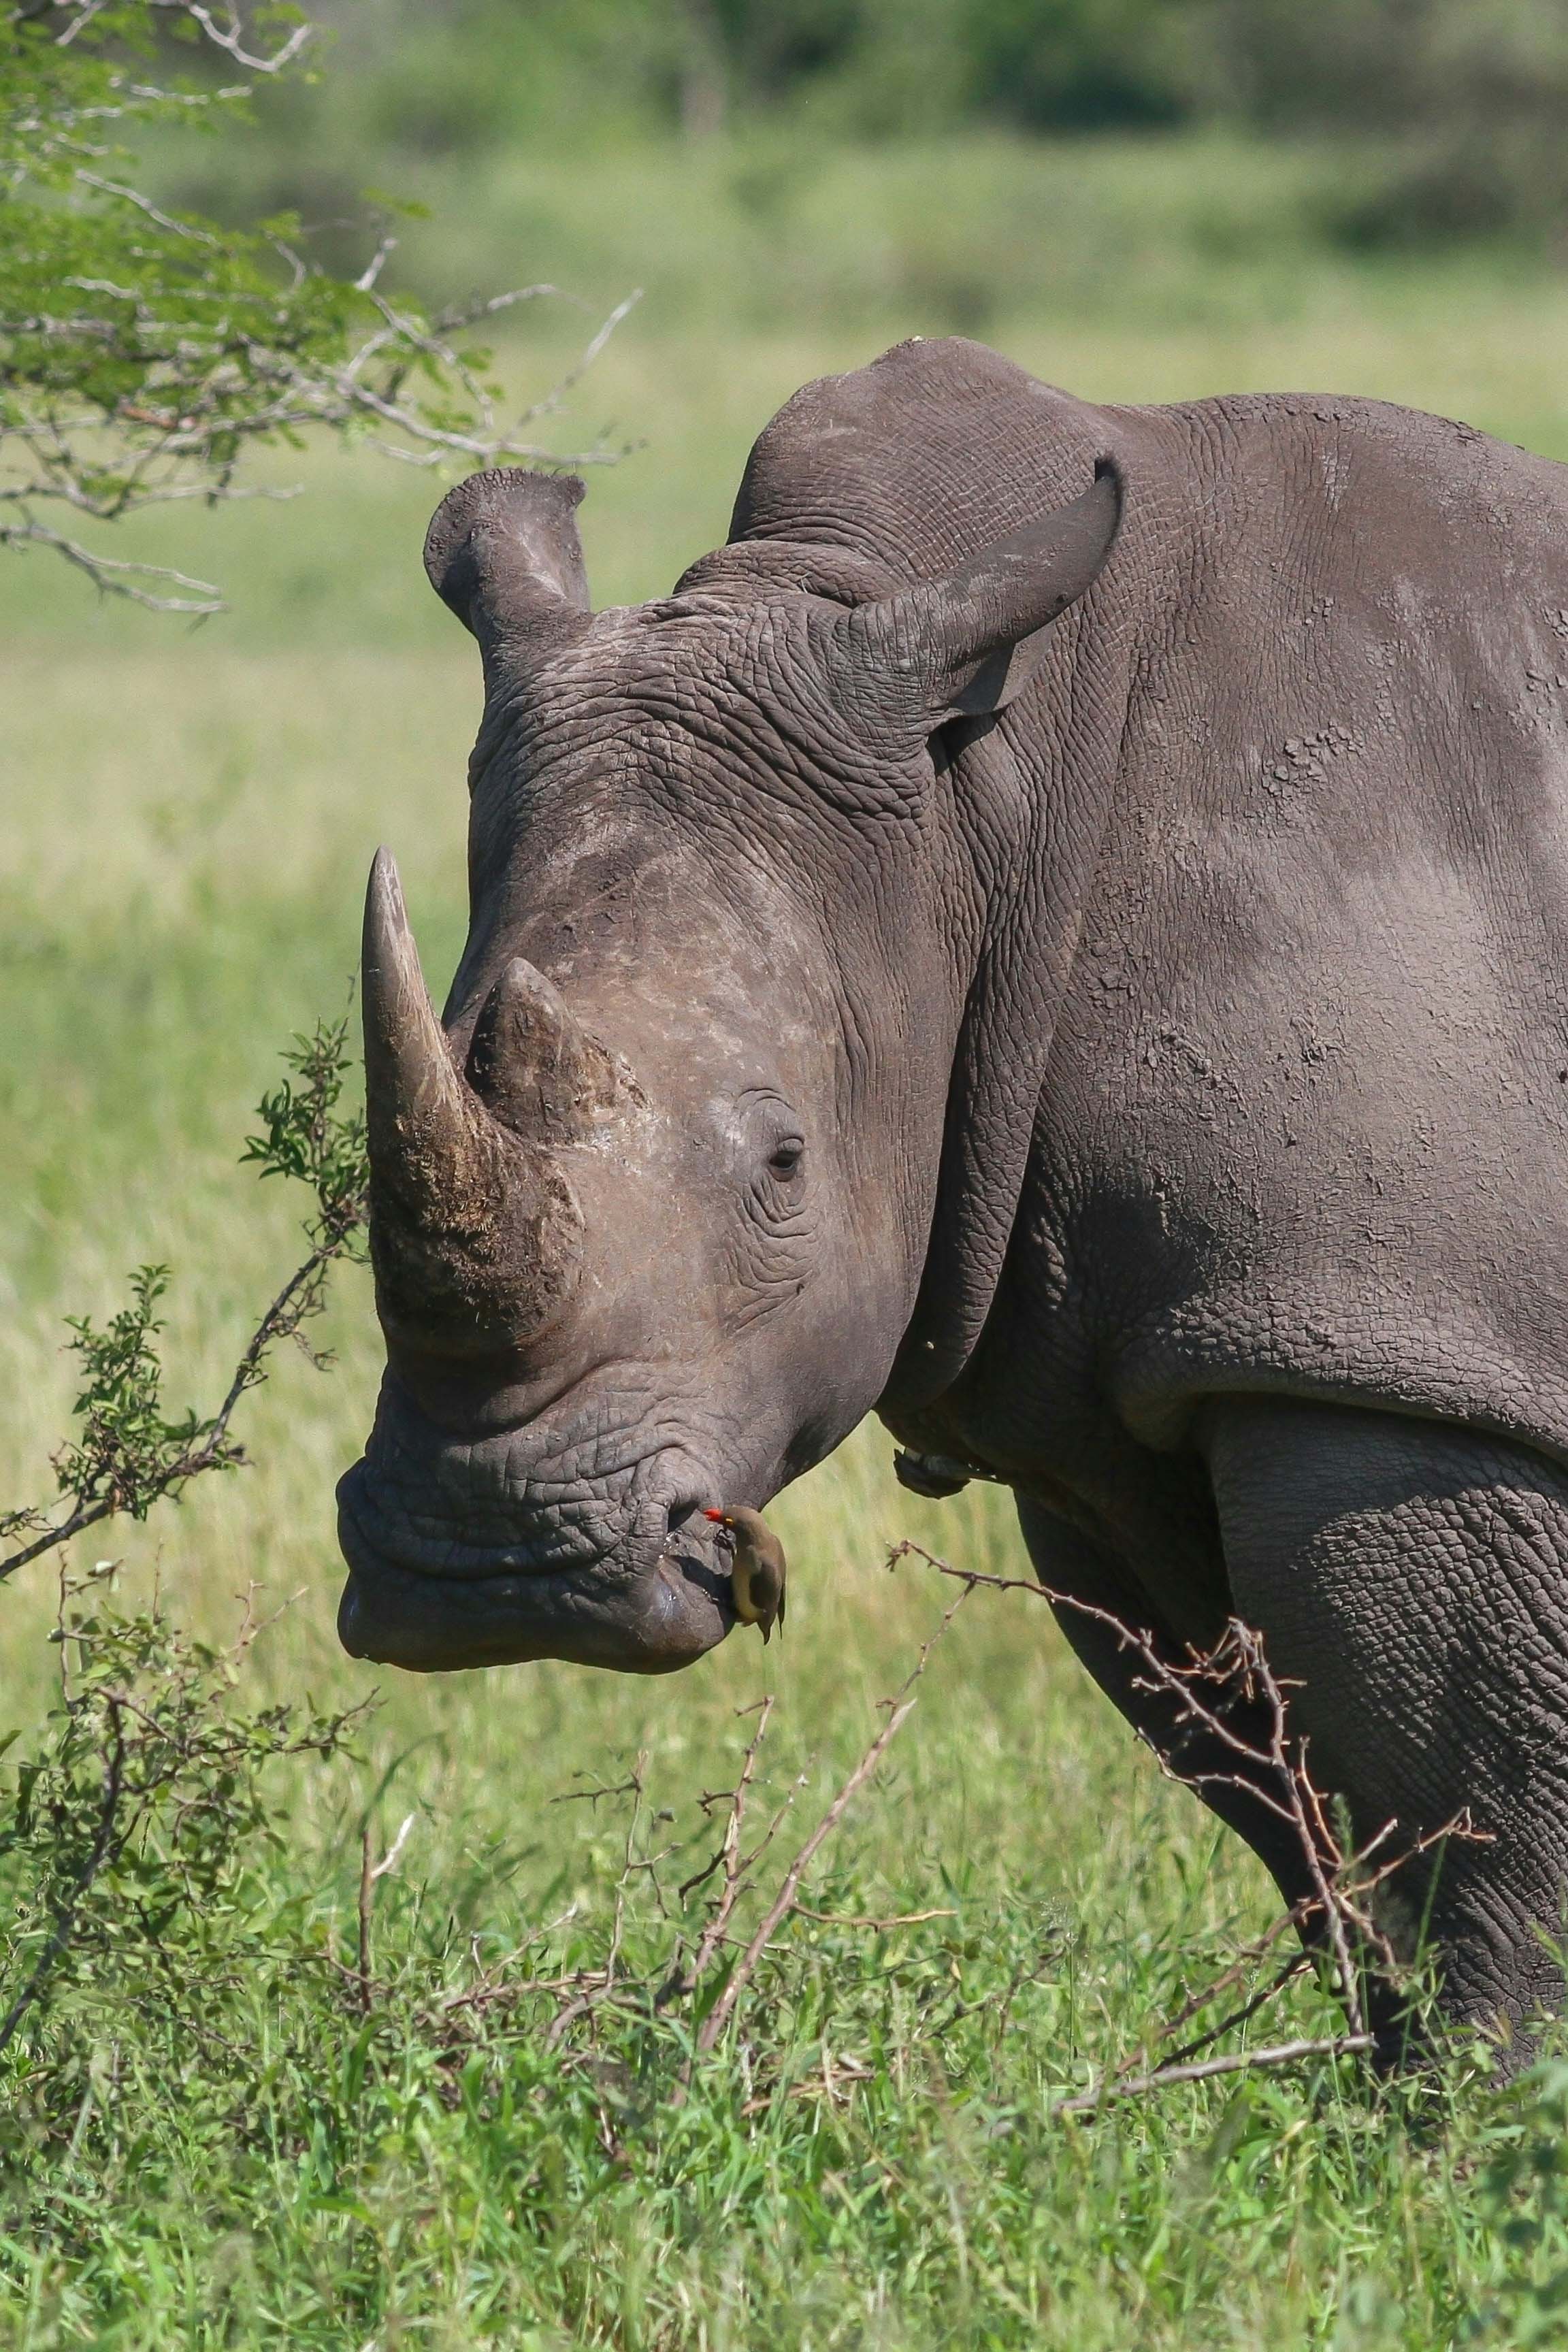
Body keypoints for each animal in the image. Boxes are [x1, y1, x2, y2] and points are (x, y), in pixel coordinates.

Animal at [337, 335, 1568, 2055]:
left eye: (784, 1167)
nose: (487, 1562)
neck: (982, 813)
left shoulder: (1389, 1339)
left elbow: (1487, 1824)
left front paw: (1497, 2105)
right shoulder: (1119, 1390)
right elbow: (1298, 1807)